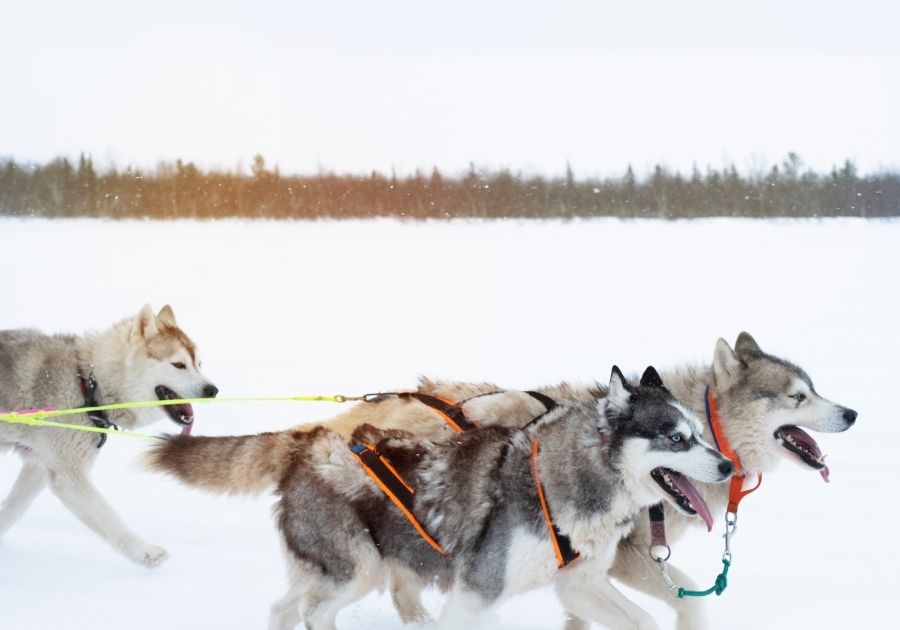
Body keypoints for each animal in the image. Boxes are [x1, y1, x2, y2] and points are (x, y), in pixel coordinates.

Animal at [0, 306, 218, 568]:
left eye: (199, 364)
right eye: (178, 365)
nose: (213, 390)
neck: (87, 384)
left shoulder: (39, 466)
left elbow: (13, 509)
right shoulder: (68, 475)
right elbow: (108, 517)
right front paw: (145, 552)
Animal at [146, 368, 732, 628]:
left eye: (700, 433)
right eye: (676, 439)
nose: (727, 466)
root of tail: (310, 441)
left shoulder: (579, 585)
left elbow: (644, 621)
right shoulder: (477, 594)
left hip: (342, 571)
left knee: (286, 608)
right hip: (358, 571)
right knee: (314, 612)